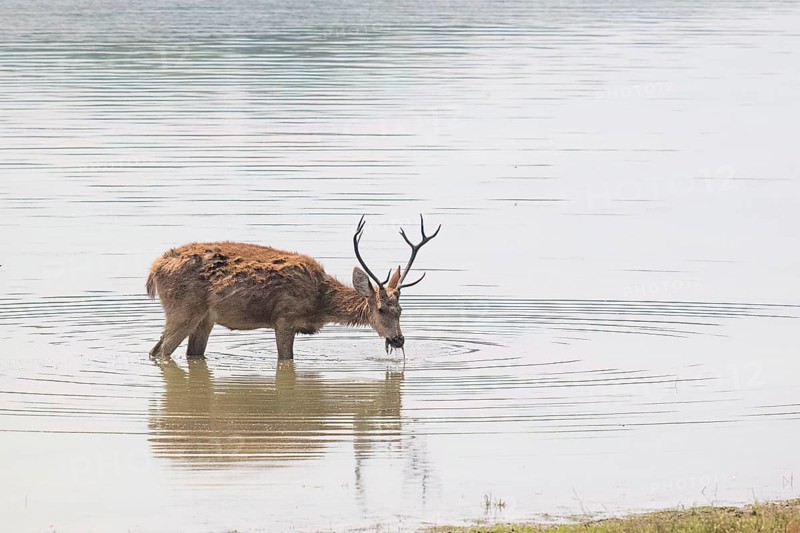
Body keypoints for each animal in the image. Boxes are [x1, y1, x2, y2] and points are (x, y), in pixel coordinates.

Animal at [146, 215, 440, 360]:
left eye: (401, 310)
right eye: (380, 309)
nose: (398, 339)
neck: (320, 302)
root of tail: (154, 270)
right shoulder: (284, 318)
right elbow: (286, 360)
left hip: (204, 318)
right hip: (182, 310)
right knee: (160, 351)